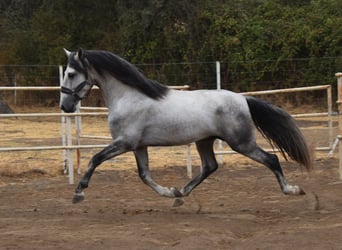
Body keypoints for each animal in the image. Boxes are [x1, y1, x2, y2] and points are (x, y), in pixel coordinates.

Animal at [60, 48, 312, 205]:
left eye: (71, 73)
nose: (65, 106)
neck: (129, 97)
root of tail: (243, 99)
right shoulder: (139, 146)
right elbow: (144, 175)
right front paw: (169, 192)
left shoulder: (125, 143)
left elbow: (95, 159)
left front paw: (78, 193)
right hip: (205, 141)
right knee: (210, 166)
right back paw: (181, 194)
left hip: (242, 143)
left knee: (272, 159)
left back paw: (293, 190)